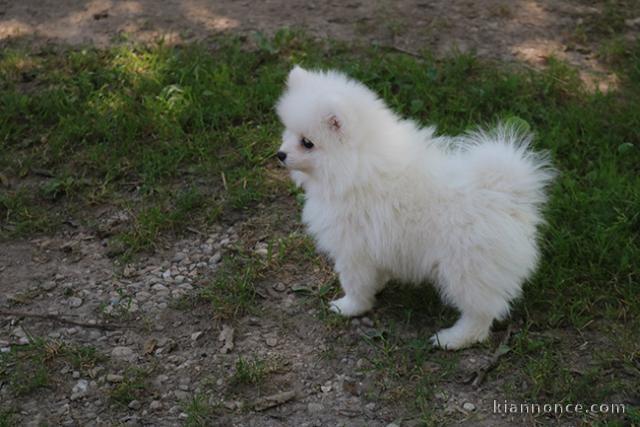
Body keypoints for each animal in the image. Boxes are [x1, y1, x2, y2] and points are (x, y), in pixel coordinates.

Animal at [276, 65, 556, 350]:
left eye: (307, 142)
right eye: (288, 131)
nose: (280, 154)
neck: (355, 165)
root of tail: (505, 194)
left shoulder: (352, 248)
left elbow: (355, 283)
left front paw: (349, 307)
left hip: (467, 267)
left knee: (480, 312)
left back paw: (452, 338)